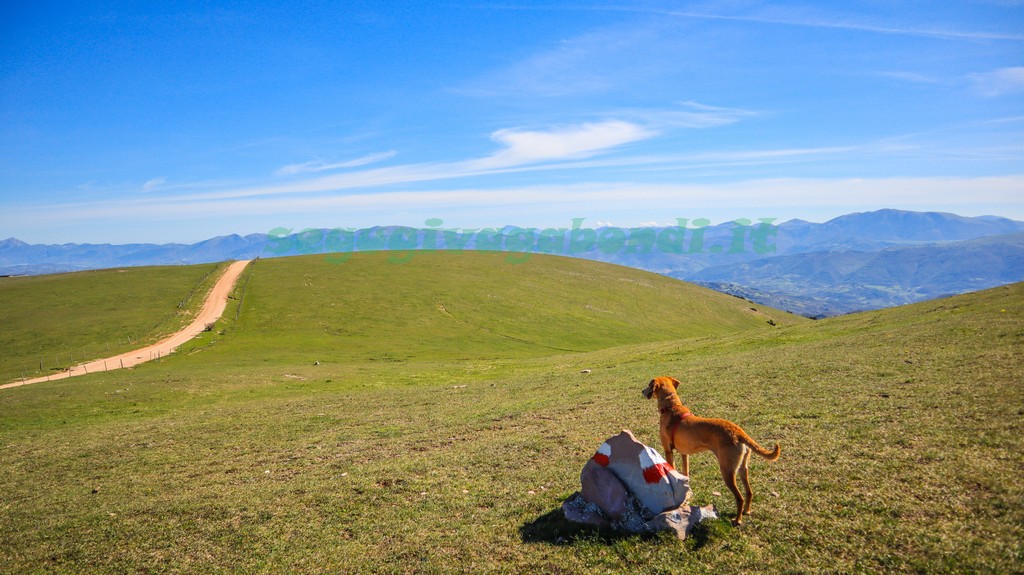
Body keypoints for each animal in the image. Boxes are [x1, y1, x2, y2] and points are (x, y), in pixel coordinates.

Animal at [643, 374, 778, 521]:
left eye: (649, 385)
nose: (642, 391)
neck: (671, 407)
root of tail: (739, 432)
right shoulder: (685, 453)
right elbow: (686, 473)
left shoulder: (668, 451)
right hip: (743, 469)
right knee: (749, 492)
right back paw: (747, 511)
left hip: (727, 471)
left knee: (740, 498)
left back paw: (737, 520)